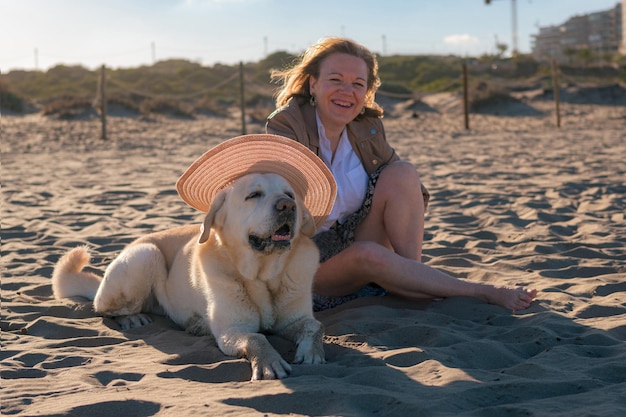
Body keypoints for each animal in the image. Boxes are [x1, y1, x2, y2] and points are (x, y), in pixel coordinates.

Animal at [51, 171, 324, 378]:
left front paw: (312, 353)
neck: (263, 274)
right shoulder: (231, 331)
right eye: (253, 195)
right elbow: (258, 339)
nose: (287, 206)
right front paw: (269, 362)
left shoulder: (293, 320)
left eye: (290, 195)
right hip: (146, 254)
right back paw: (132, 318)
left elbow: (314, 325)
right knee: (105, 308)